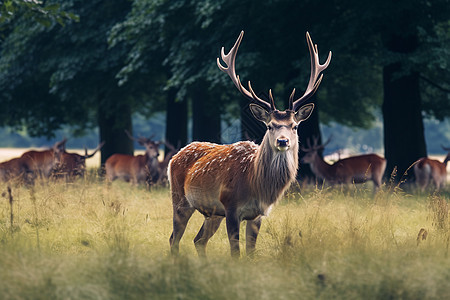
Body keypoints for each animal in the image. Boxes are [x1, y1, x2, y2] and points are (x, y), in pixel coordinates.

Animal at [168, 31, 330, 258]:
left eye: (295, 126)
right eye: (270, 126)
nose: (283, 140)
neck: (256, 184)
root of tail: (174, 156)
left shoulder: (258, 215)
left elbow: (251, 252)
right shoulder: (230, 207)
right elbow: (235, 252)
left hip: (212, 213)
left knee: (198, 240)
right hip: (180, 199)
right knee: (174, 239)